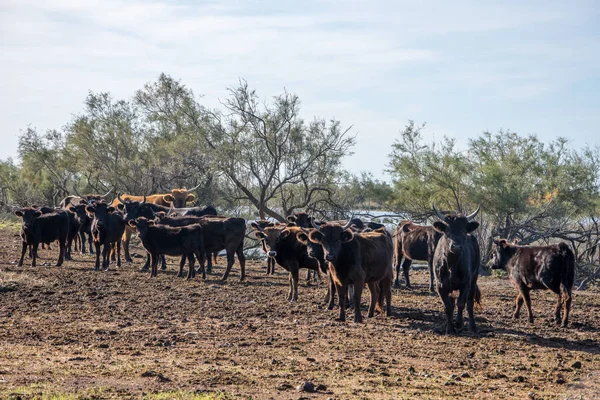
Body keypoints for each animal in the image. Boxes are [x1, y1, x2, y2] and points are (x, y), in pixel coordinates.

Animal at [432, 203, 482, 334]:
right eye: (447, 231)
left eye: (463, 231)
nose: (456, 247)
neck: (452, 264)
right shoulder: (441, 285)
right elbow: (448, 306)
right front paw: (449, 328)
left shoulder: (465, 283)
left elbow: (461, 303)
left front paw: (459, 324)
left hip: (474, 279)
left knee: (469, 303)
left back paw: (472, 326)